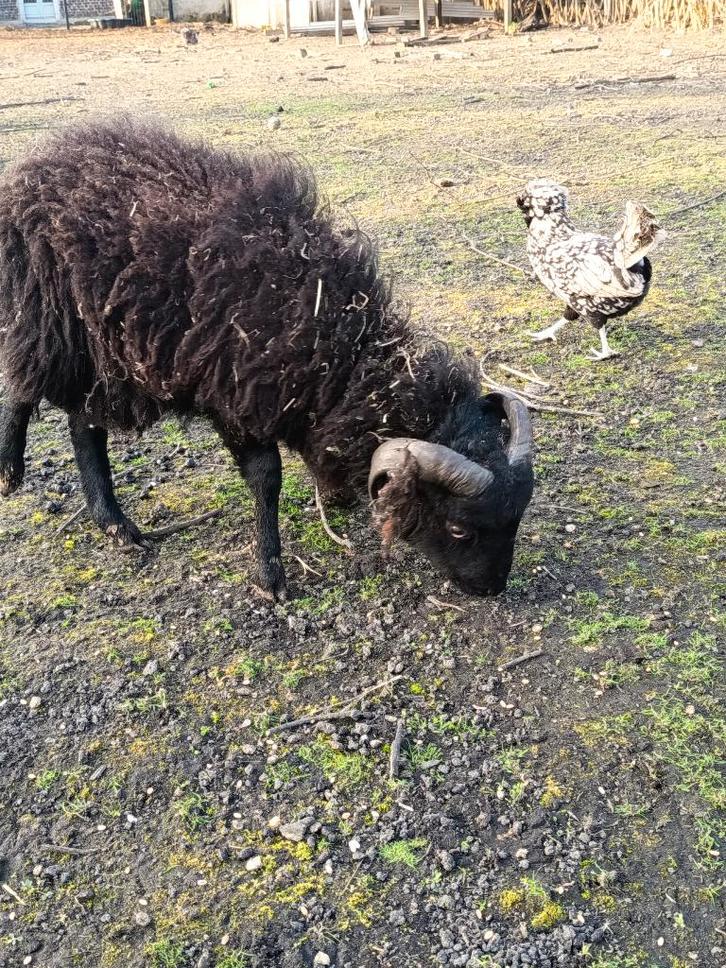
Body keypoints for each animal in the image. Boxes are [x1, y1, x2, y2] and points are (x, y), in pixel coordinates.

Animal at [0, 119, 535, 600]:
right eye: (459, 528)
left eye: (517, 518)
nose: (492, 589)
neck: (337, 347)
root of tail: (38, 159)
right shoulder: (235, 396)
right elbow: (266, 478)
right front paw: (270, 574)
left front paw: (333, 494)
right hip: (50, 319)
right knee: (24, 385)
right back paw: (12, 473)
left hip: (102, 354)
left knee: (82, 423)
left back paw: (113, 524)